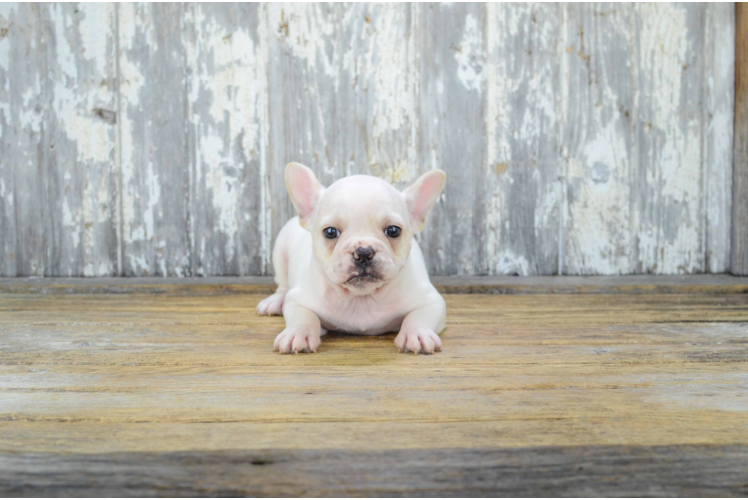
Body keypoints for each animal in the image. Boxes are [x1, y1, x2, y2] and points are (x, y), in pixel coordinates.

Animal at [258, 162, 444, 354]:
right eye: (330, 232)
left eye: (393, 230)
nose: (363, 252)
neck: (361, 298)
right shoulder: (298, 299)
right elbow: (303, 316)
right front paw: (297, 333)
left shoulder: (430, 300)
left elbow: (419, 316)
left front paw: (417, 334)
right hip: (280, 253)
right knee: (282, 285)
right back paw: (274, 302)